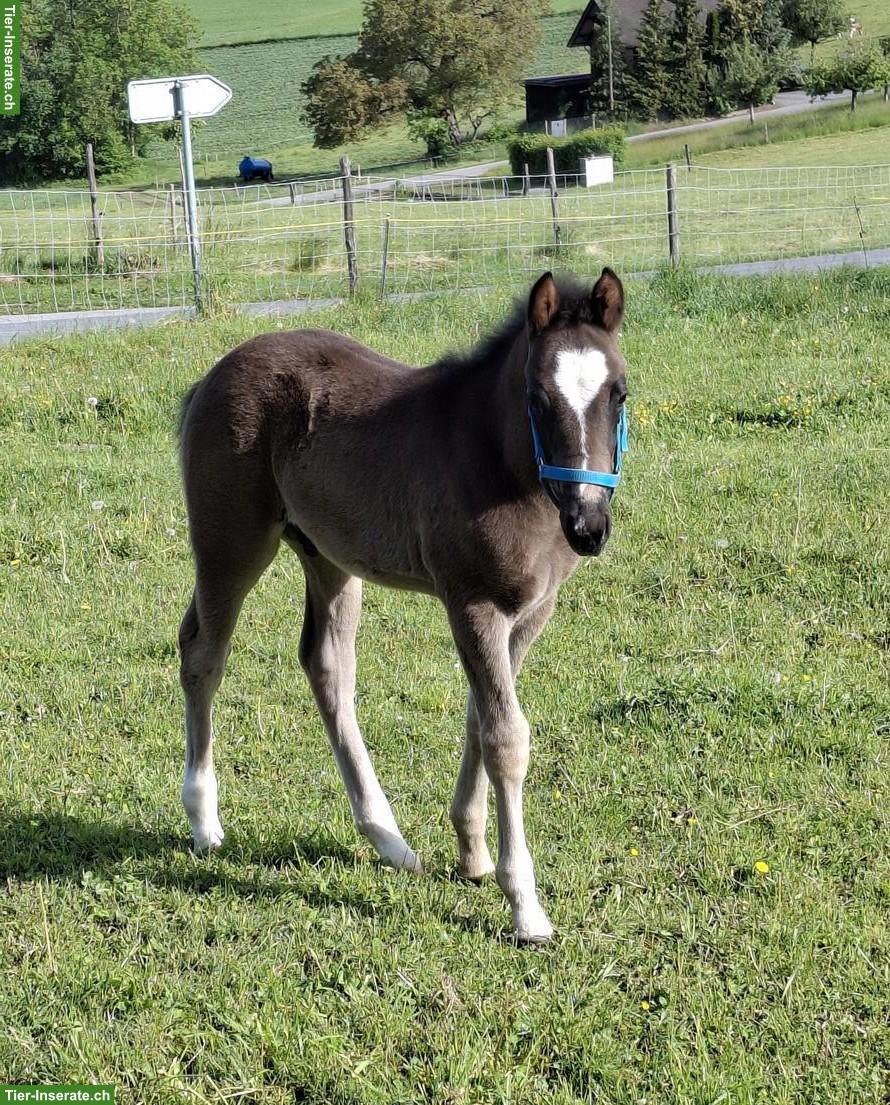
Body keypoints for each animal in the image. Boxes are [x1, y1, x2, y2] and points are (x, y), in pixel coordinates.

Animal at [177, 269, 629, 942]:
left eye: (619, 394)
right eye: (538, 396)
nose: (588, 526)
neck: (497, 462)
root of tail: (211, 376)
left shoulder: (529, 612)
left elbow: (479, 717)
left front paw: (471, 852)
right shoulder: (471, 603)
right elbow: (506, 737)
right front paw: (524, 903)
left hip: (328, 557)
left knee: (326, 667)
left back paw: (388, 839)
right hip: (230, 542)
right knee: (204, 653)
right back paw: (205, 821)